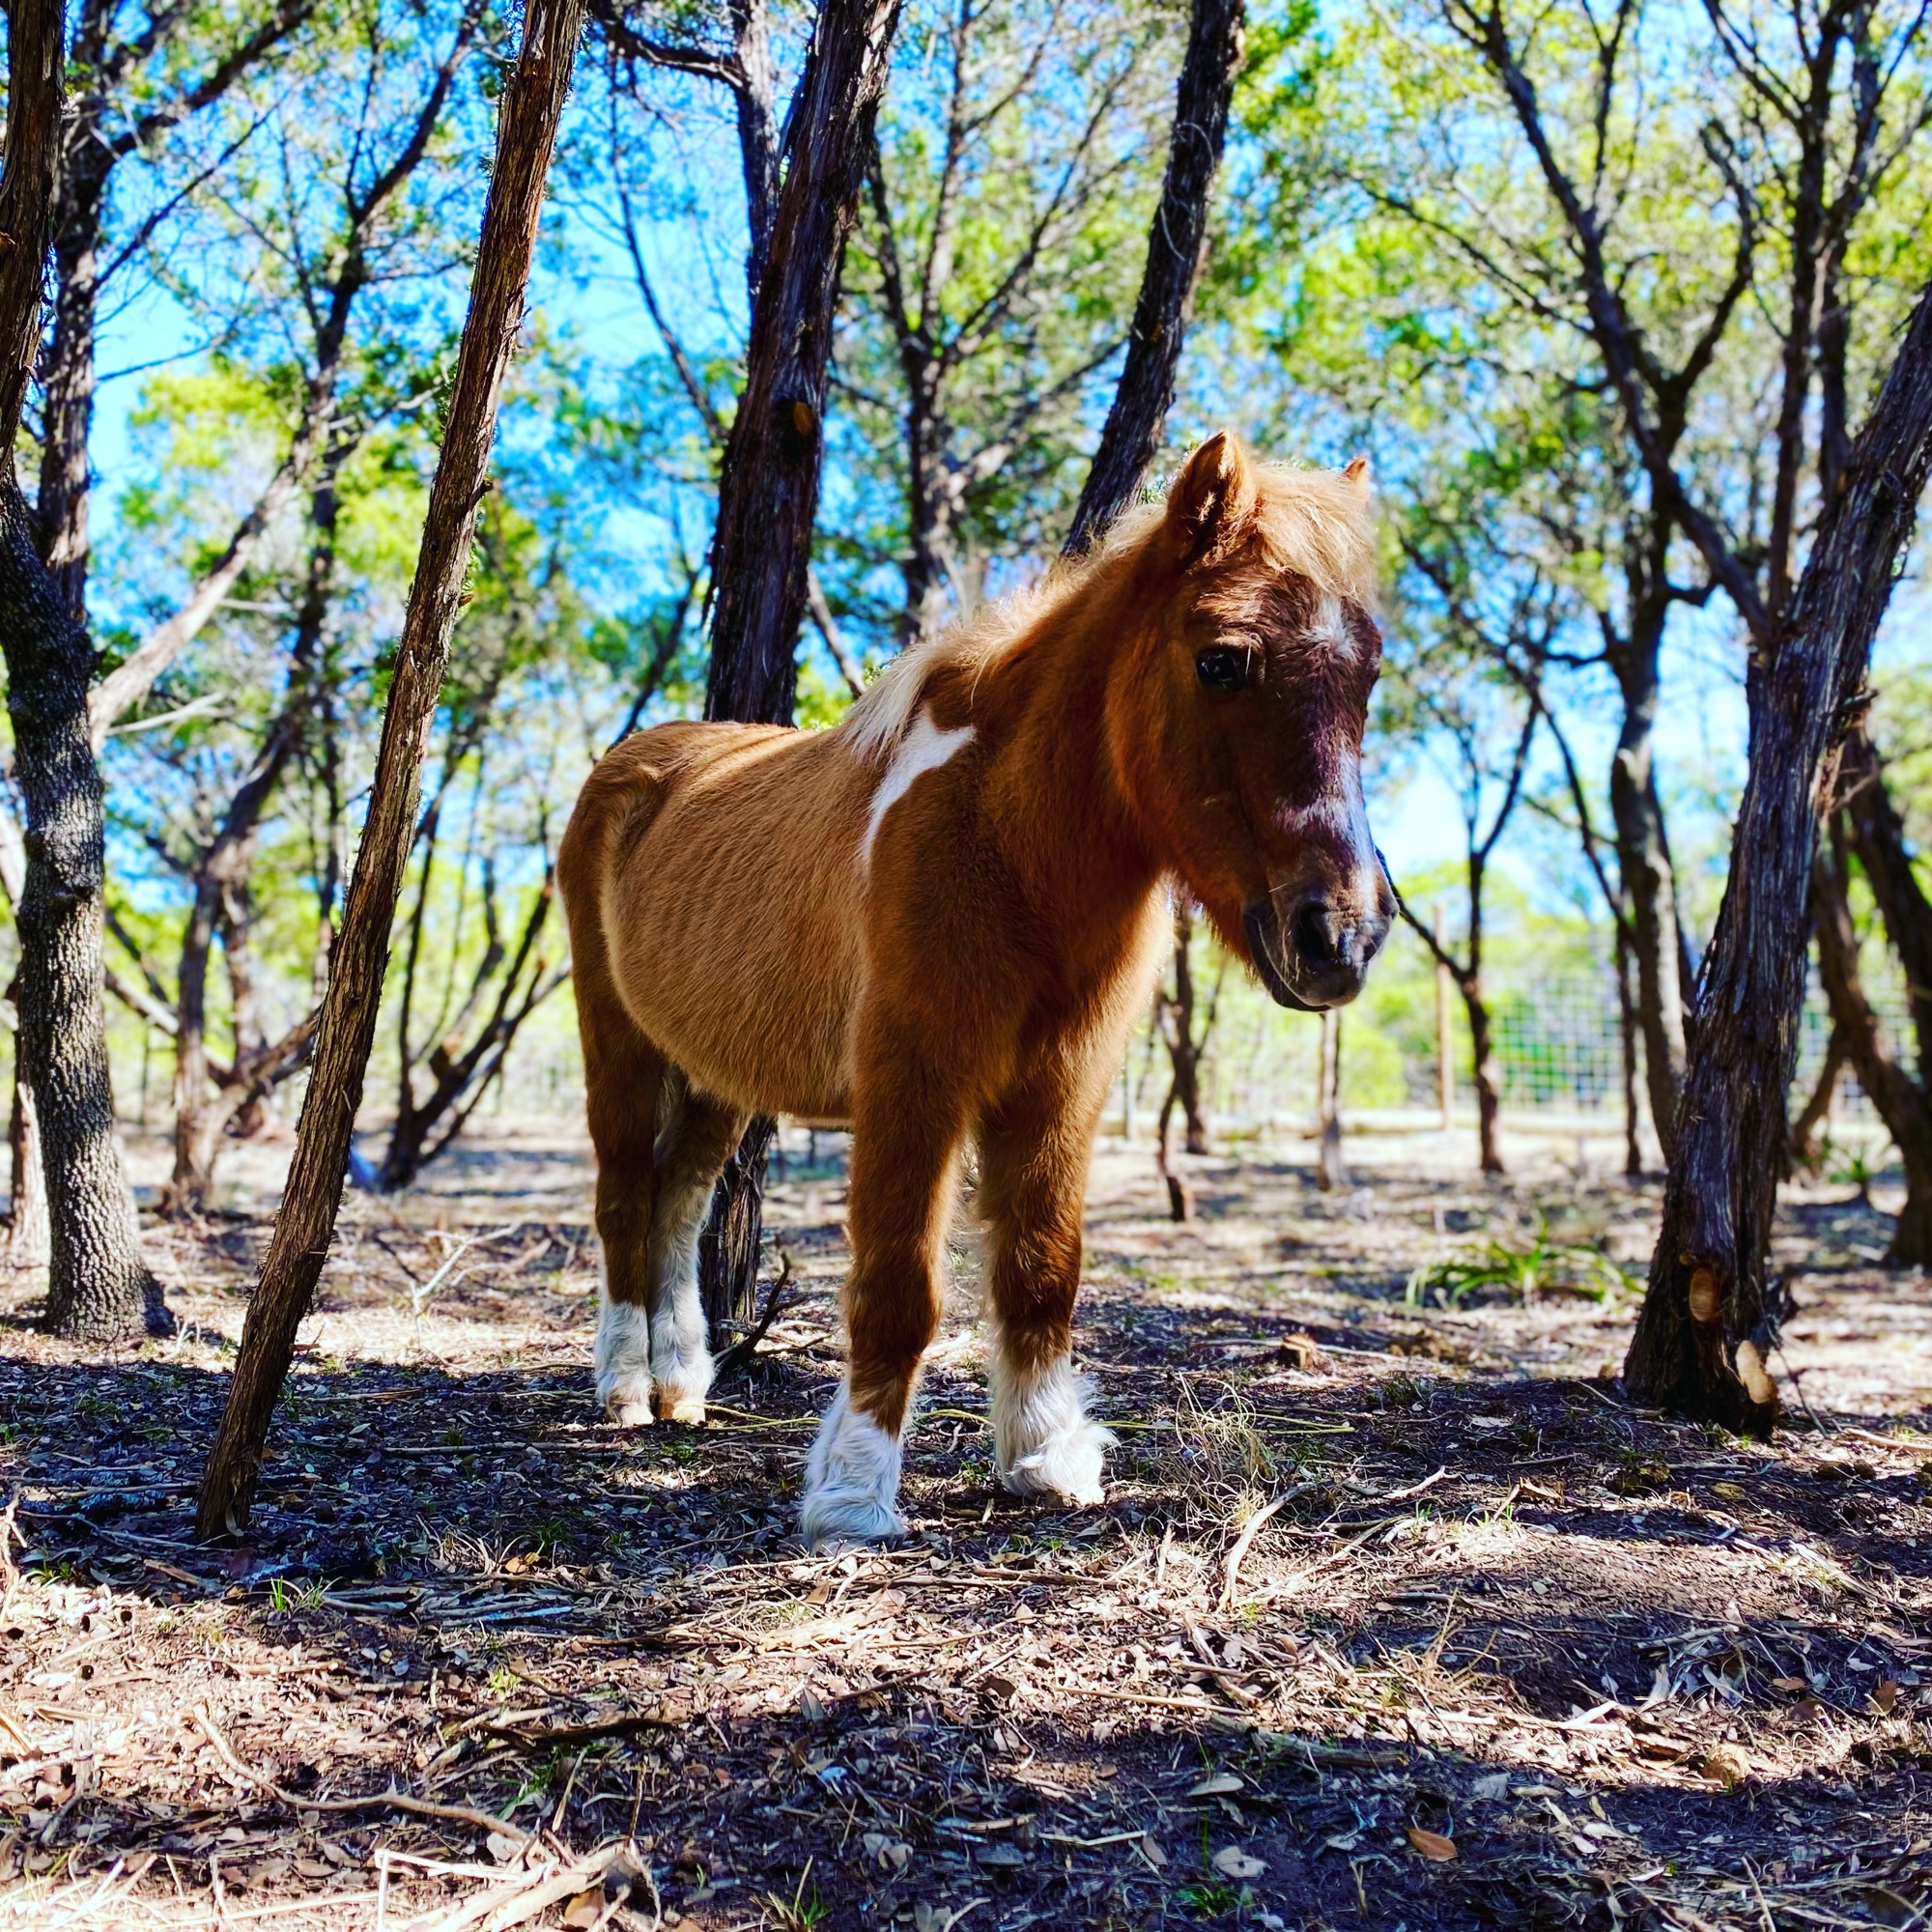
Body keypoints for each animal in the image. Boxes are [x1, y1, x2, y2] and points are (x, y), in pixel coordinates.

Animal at [557, 431, 1393, 1549]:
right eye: (1222, 658)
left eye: (1368, 671)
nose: (1340, 935)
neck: (1003, 836)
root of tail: (639, 762)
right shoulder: (916, 1078)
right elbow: (899, 1287)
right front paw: (853, 1492)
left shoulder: (1061, 1089)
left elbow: (1042, 1270)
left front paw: (1041, 1457)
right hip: (618, 1042)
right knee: (621, 1194)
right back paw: (621, 1386)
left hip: (717, 1071)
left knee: (680, 1196)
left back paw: (679, 1382)